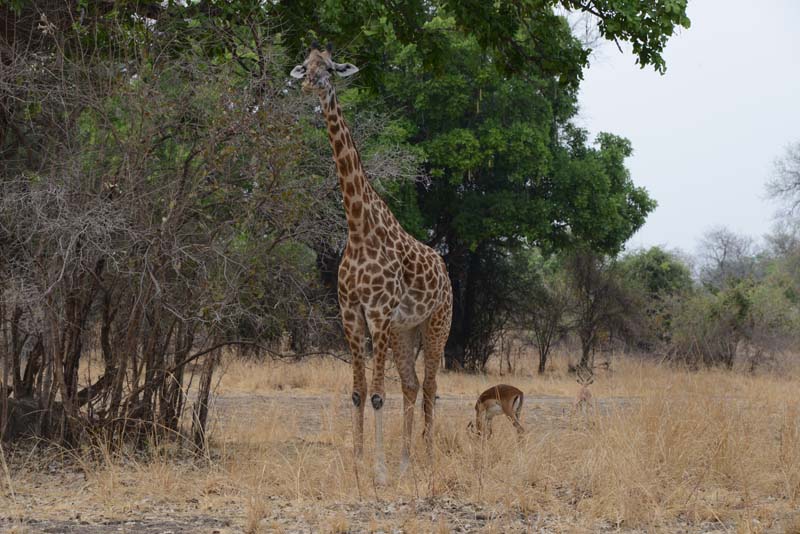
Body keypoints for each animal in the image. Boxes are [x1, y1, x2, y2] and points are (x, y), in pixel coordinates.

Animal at [290, 43, 450, 486]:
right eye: (305, 66)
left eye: (329, 68)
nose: (309, 85)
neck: (359, 227)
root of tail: (446, 273)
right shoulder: (350, 312)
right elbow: (359, 392)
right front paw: (359, 461)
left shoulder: (377, 312)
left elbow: (379, 395)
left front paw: (377, 471)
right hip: (404, 331)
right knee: (412, 385)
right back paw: (406, 461)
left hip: (436, 325)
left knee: (430, 388)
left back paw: (428, 459)